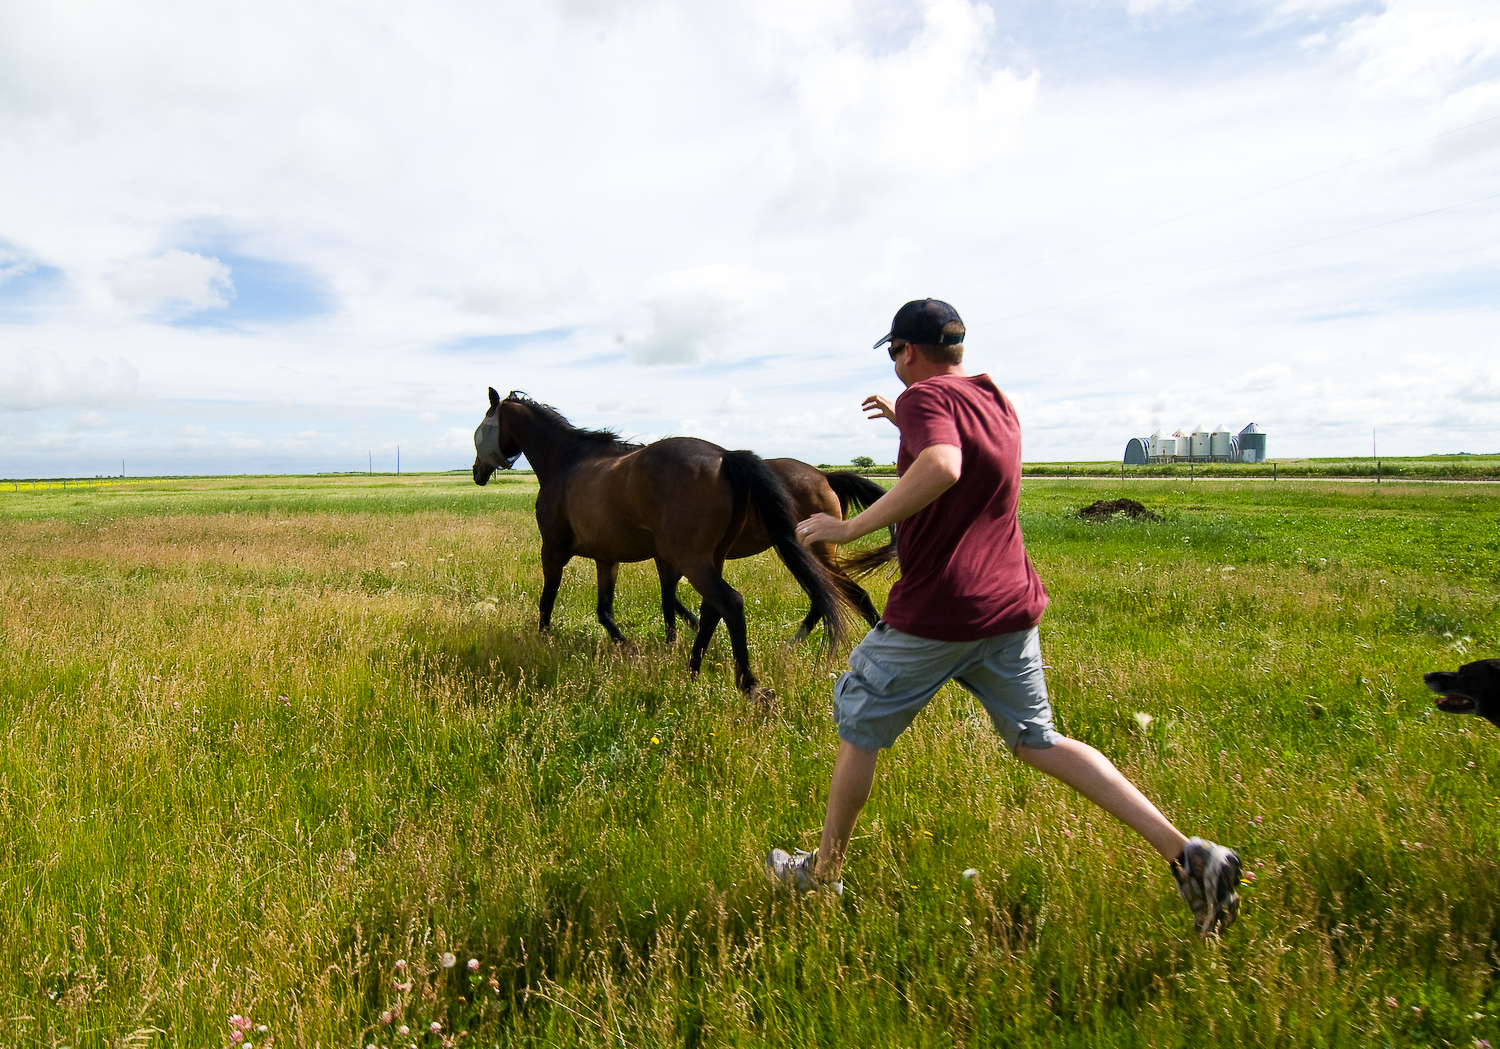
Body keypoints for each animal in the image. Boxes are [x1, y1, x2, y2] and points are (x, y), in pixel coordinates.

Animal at [474, 387, 852, 696]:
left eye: (479, 429)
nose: (477, 472)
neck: (565, 461)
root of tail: (726, 456)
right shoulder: (608, 559)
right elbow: (607, 610)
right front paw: (633, 649)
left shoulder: (553, 552)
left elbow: (547, 603)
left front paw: (542, 644)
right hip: (710, 558)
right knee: (713, 609)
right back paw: (693, 668)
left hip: (693, 559)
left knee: (731, 603)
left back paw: (749, 686)